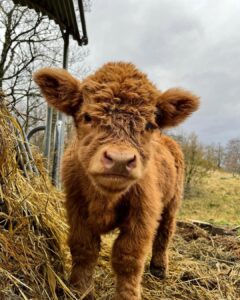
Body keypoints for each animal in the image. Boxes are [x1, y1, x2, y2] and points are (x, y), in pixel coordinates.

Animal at [33, 62, 199, 298]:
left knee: (165, 231)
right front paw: (80, 290)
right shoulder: (76, 208)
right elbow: (84, 249)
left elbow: (128, 258)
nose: (120, 160)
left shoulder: (143, 213)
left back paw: (159, 268)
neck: (106, 199)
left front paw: (128, 295)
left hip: (172, 201)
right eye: (87, 117)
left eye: (149, 125)